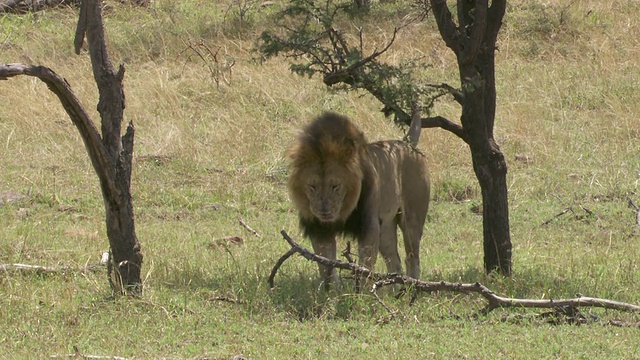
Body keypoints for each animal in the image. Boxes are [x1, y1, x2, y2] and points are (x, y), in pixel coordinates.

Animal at [288, 112, 430, 286]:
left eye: (335, 186)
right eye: (312, 186)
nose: (324, 211)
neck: (343, 210)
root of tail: (406, 143)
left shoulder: (368, 226)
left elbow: (365, 267)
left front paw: (363, 291)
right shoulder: (320, 229)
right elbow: (326, 266)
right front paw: (331, 291)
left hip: (411, 219)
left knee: (412, 258)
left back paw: (412, 286)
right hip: (386, 226)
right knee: (394, 261)